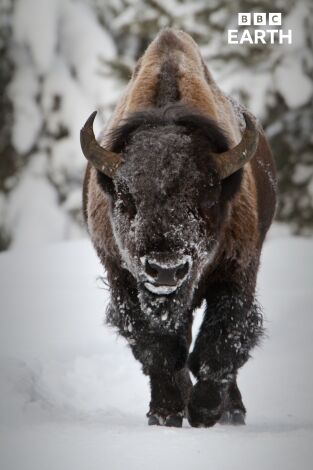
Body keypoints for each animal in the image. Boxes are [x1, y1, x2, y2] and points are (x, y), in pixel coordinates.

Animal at [81, 27, 276, 428]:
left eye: (206, 197)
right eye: (126, 199)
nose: (166, 269)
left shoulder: (238, 273)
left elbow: (220, 343)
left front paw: (205, 412)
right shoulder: (124, 280)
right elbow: (158, 350)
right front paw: (166, 413)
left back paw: (232, 411)